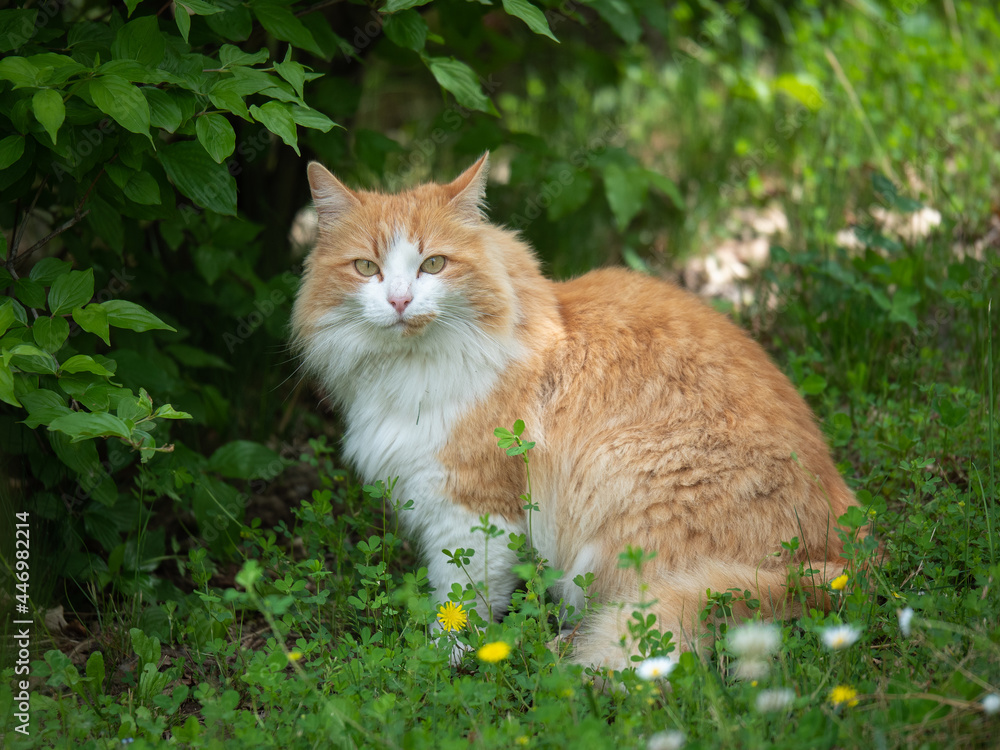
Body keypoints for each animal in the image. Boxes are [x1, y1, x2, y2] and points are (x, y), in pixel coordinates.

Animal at [290, 154, 860, 668]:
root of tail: (844, 558)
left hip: (619, 477)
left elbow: (461, 600)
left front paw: (441, 659)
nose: (400, 302)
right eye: (367, 267)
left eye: (434, 264)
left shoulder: (473, 507)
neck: (410, 370)